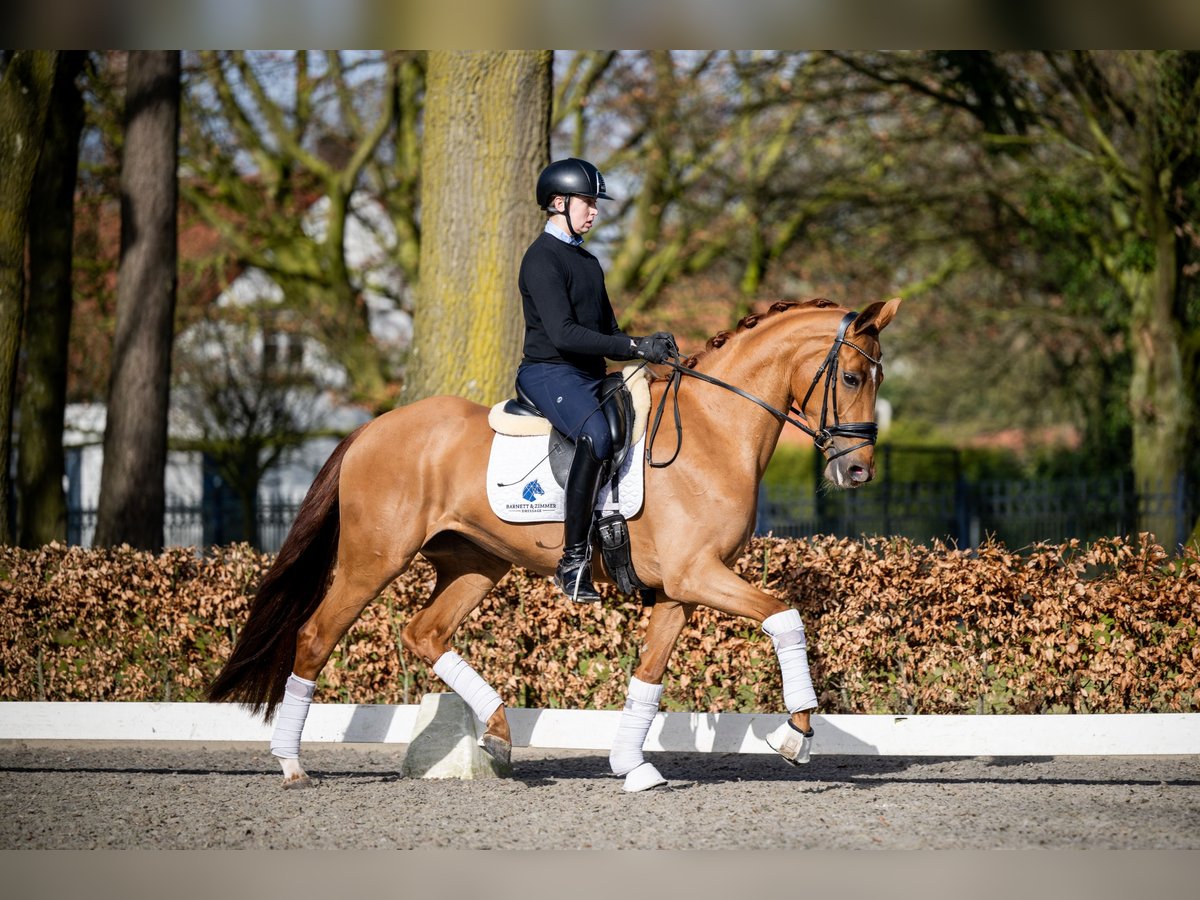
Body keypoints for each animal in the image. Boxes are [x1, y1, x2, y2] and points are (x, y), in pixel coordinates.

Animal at [208, 294, 902, 787]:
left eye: (878, 379)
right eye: (849, 377)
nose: (858, 472)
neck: (713, 430)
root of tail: (371, 429)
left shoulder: (680, 590)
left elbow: (648, 676)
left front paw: (632, 767)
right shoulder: (698, 575)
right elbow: (786, 615)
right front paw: (795, 734)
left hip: (476, 564)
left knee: (424, 632)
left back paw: (497, 732)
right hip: (371, 560)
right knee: (316, 637)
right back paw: (291, 764)